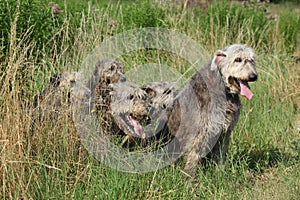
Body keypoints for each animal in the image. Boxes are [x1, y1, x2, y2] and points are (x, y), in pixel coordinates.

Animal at [162, 44, 258, 177]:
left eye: (252, 60)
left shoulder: (225, 132)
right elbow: (194, 157)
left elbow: (220, 154)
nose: (254, 76)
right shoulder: (201, 133)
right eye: (238, 59)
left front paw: (220, 174)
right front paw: (189, 179)